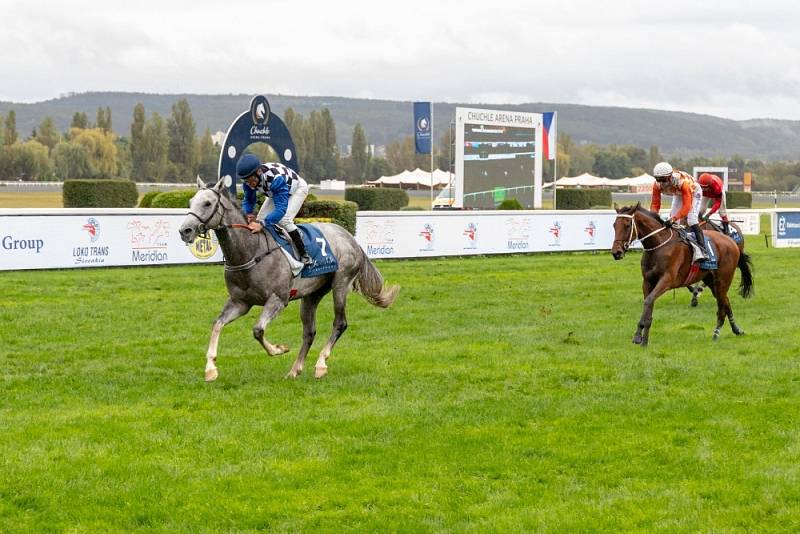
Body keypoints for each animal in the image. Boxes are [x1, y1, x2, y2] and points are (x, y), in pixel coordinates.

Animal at [178, 176, 396, 382]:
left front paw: (278, 349)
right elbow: (217, 324)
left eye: (207, 203)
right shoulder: (240, 302)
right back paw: (294, 370)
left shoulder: (278, 299)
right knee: (309, 332)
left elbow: (258, 330)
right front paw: (210, 369)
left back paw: (320, 364)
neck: (251, 250)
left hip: (340, 283)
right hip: (312, 294)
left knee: (340, 323)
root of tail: (351, 238)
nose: (185, 231)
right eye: (191, 202)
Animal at [612, 204, 756, 348]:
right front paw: (641, 337)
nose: (616, 252)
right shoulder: (647, 281)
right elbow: (649, 303)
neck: (659, 245)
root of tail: (731, 241)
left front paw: (640, 337)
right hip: (712, 280)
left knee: (722, 307)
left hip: (723, 279)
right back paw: (736, 329)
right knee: (726, 301)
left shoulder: (667, 280)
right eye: (614, 225)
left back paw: (716, 334)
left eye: (627, 225)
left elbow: (648, 301)